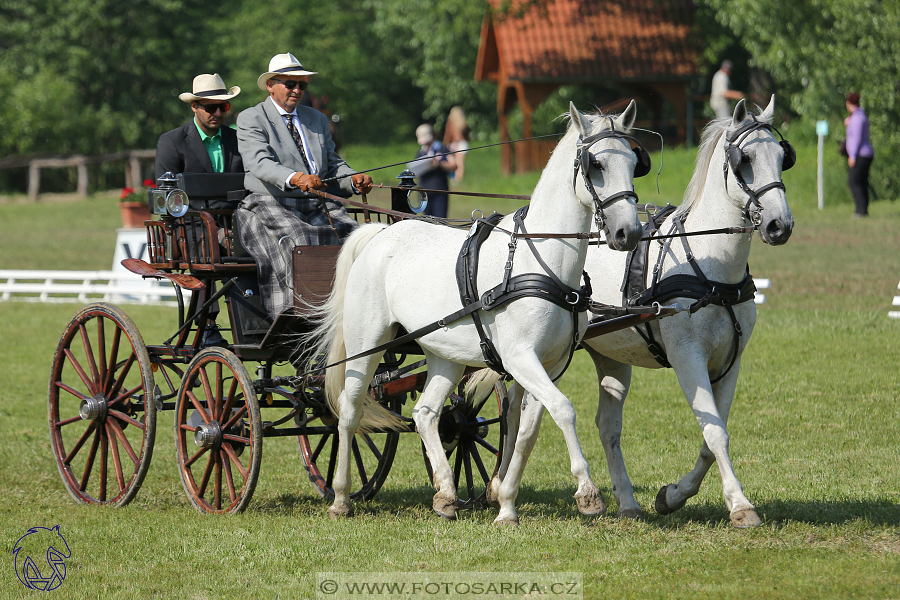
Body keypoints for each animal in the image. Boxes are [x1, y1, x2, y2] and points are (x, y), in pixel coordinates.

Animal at [312, 101, 644, 524]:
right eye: (596, 164)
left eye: (634, 161)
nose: (628, 233)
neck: (541, 263)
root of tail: (380, 234)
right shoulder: (520, 358)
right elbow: (564, 410)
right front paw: (587, 493)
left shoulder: (549, 364)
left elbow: (528, 427)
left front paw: (504, 500)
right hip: (366, 344)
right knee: (349, 411)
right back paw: (341, 496)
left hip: (445, 355)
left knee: (425, 412)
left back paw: (446, 494)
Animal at [492, 96, 796, 528]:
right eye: (746, 159)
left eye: (782, 157)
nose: (778, 225)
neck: (711, 269)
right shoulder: (688, 357)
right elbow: (715, 432)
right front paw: (740, 505)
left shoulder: (730, 362)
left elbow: (713, 434)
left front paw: (673, 495)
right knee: (523, 415)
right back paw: (504, 492)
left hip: (608, 358)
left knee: (602, 426)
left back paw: (624, 501)